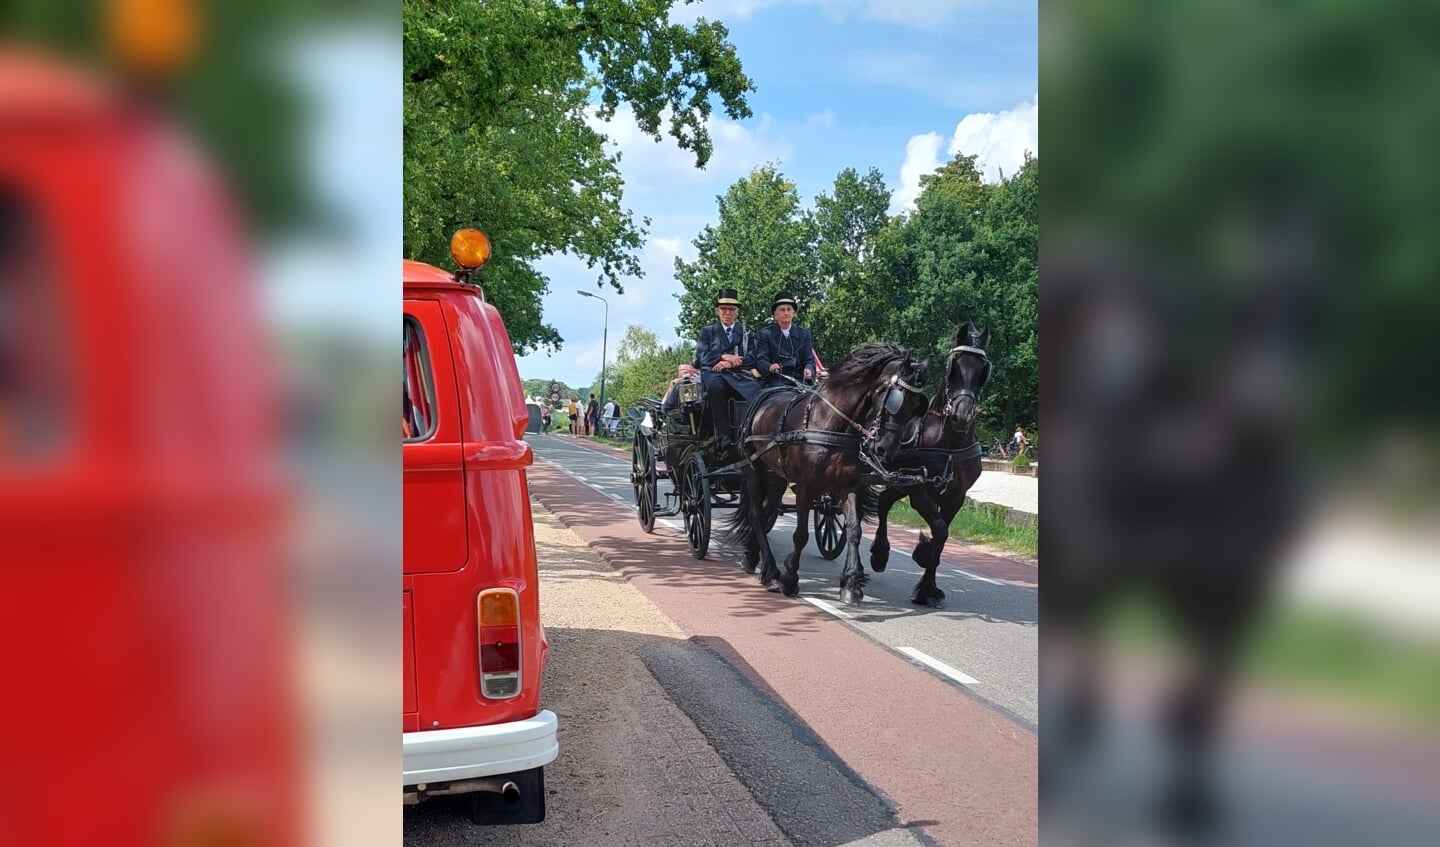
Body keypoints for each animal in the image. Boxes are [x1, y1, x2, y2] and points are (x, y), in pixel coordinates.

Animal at [720, 342, 933, 602]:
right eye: (895, 399)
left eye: (917, 406)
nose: (886, 449)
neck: (830, 423)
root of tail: (763, 396)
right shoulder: (805, 487)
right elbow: (801, 534)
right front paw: (790, 579)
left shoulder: (848, 485)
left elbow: (854, 531)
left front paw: (851, 584)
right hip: (754, 470)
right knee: (757, 516)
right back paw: (771, 571)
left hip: (777, 477)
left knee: (766, 511)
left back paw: (753, 558)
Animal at [864, 321, 990, 605]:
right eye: (954, 366)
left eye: (982, 370)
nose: (961, 416)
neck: (950, 444)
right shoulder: (920, 492)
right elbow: (940, 531)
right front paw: (924, 583)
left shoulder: (956, 496)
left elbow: (942, 535)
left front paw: (928, 583)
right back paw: (879, 554)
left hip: (898, 481)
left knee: (884, 500)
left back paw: (880, 553)